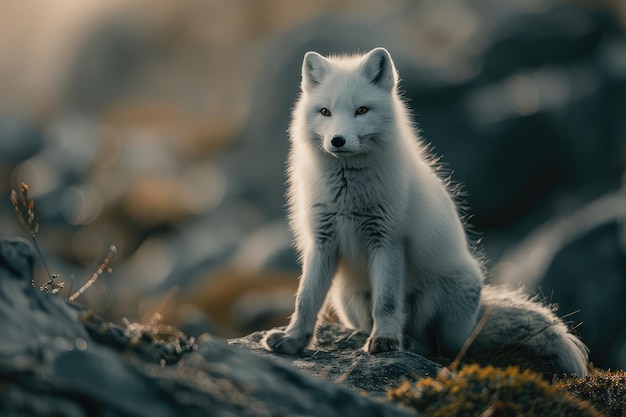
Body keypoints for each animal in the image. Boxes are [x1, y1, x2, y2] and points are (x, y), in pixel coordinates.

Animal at [260, 47, 588, 376]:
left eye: (361, 110)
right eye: (325, 112)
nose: (337, 140)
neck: (348, 193)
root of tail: (474, 321)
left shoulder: (388, 240)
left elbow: (387, 302)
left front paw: (386, 341)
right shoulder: (322, 243)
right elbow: (305, 300)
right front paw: (293, 341)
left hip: (439, 299)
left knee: (440, 347)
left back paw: (407, 342)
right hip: (348, 300)